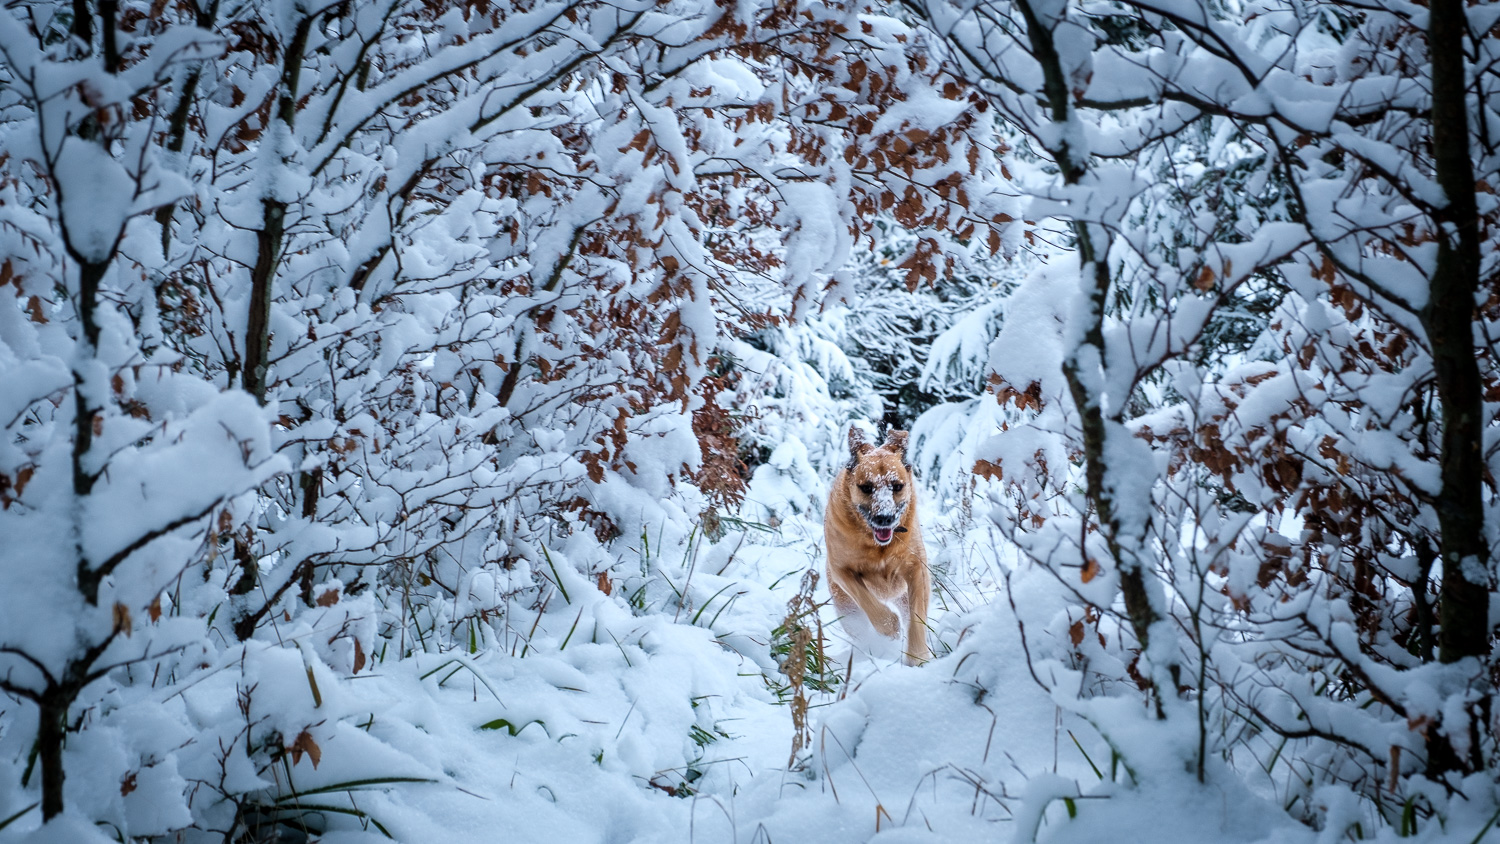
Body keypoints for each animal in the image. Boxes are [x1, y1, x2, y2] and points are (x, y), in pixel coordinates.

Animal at [828, 428, 930, 668]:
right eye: (866, 487)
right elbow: (868, 602)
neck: (879, 549)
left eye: (897, 486)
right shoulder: (840, 570)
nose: (884, 517)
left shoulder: (916, 568)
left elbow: (917, 617)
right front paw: (891, 627)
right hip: (847, 610)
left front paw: (917, 657)